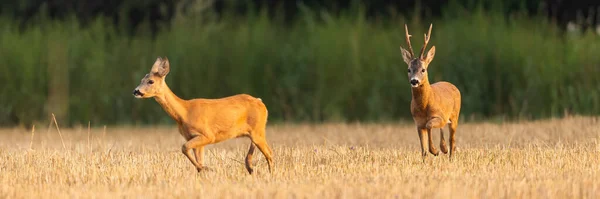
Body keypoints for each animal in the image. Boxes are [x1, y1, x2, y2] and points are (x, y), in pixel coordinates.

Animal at [132, 56, 274, 173]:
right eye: (141, 80)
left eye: (150, 81)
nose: (136, 91)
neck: (184, 113)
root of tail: (261, 102)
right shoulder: (193, 138)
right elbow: (195, 157)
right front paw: (203, 170)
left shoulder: (207, 135)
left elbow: (184, 148)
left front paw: (207, 168)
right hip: (255, 130)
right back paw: (249, 166)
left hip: (258, 130)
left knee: (270, 153)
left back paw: (269, 174)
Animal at [400, 24, 462, 162]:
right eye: (408, 69)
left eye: (423, 69)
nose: (414, 81)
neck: (424, 107)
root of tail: (453, 85)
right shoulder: (418, 123)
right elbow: (423, 150)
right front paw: (427, 159)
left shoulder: (440, 117)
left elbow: (429, 125)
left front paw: (435, 150)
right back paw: (444, 148)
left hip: (454, 116)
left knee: (452, 140)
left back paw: (449, 156)